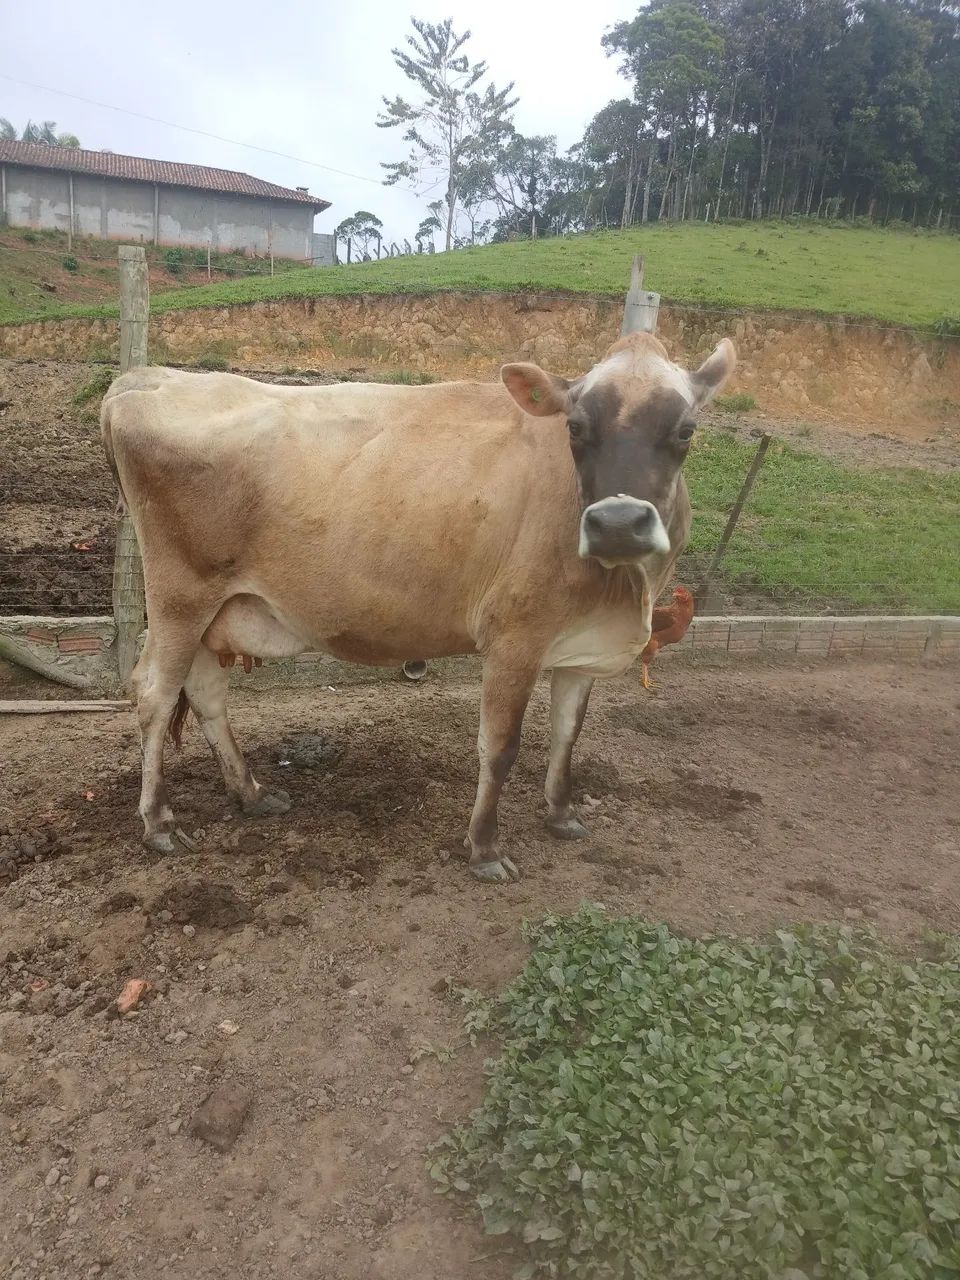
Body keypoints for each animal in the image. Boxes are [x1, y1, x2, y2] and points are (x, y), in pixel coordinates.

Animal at [101, 327, 735, 884]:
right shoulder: (514, 638)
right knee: (154, 692)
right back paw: (158, 822)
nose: (618, 524)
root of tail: (145, 377)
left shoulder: (579, 642)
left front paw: (561, 815)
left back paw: (251, 793)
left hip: (216, 609)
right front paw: (484, 849)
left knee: (205, 693)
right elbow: (499, 747)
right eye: (576, 426)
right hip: (180, 595)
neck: (623, 594)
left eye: (686, 430)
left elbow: (567, 733)